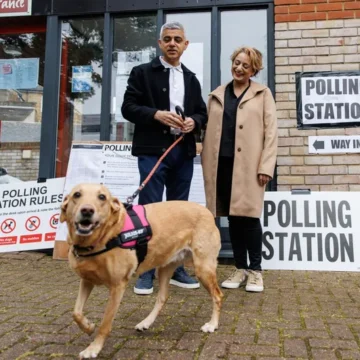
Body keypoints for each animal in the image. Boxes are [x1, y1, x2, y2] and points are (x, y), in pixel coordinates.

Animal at [60, 184, 224, 358]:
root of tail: (207, 211)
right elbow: (76, 312)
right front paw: (88, 326)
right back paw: (145, 322)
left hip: (203, 269)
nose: (87, 210)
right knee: (162, 297)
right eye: (77, 195)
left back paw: (212, 324)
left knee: (217, 295)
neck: (103, 238)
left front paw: (94, 348)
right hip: (165, 267)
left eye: (102, 197)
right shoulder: (86, 280)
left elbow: (105, 324)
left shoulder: (117, 286)